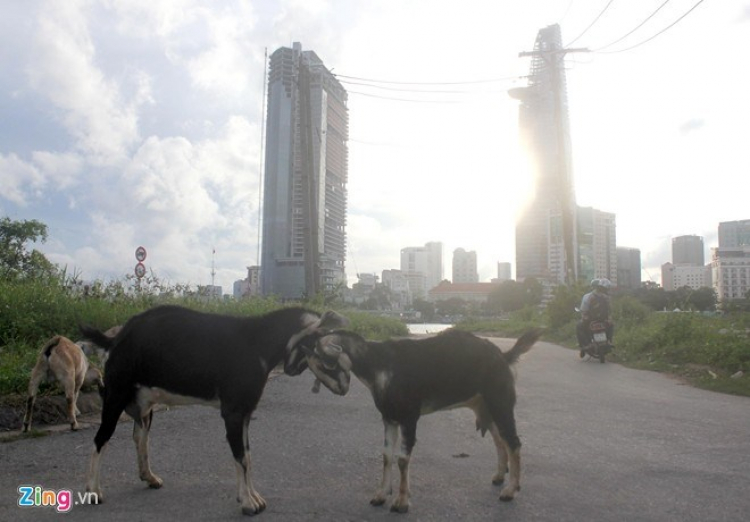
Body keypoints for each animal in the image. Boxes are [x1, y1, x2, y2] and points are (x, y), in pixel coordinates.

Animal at [78, 302, 348, 512]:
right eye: (329, 354)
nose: (345, 387)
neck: (256, 344)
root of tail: (117, 337)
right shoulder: (232, 412)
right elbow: (240, 457)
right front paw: (248, 503)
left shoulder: (246, 413)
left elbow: (248, 456)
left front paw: (252, 496)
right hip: (115, 396)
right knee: (100, 439)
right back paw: (93, 490)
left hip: (144, 404)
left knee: (140, 437)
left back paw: (150, 477)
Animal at [302, 330, 544, 512]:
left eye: (322, 363)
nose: (340, 390)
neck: (380, 364)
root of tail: (504, 356)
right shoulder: (389, 418)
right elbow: (386, 456)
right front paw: (381, 495)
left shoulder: (409, 417)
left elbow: (402, 459)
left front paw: (401, 502)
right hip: (485, 408)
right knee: (500, 441)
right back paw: (499, 476)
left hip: (500, 404)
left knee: (513, 442)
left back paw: (510, 491)